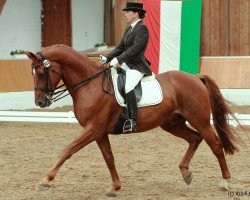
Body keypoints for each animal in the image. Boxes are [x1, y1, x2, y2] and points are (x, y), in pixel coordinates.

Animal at [25, 44, 240, 196]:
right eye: (32, 73)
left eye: (42, 73)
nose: (40, 102)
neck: (90, 84)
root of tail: (195, 77)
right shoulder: (99, 132)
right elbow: (109, 158)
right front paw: (115, 187)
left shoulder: (93, 129)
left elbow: (67, 150)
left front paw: (45, 181)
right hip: (171, 124)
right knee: (195, 139)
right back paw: (186, 173)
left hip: (199, 120)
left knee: (216, 145)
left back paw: (225, 182)